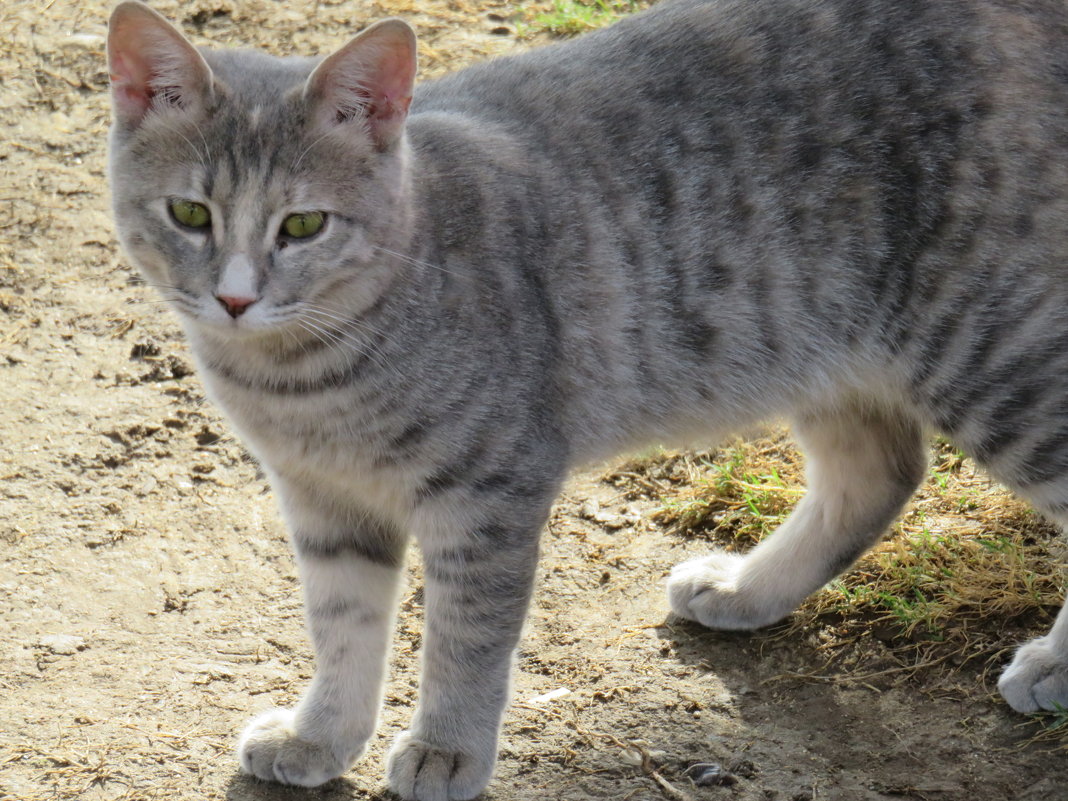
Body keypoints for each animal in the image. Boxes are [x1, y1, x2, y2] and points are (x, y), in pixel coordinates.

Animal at [104, 0, 1068, 798]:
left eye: (303, 225)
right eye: (190, 215)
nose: (234, 297)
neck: (304, 379)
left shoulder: (490, 491)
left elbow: (466, 635)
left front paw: (447, 746)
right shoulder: (322, 498)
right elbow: (342, 626)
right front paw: (321, 735)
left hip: (993, 350)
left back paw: (1054, 667)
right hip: (816, 342)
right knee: (879, 474)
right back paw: (748, 587)